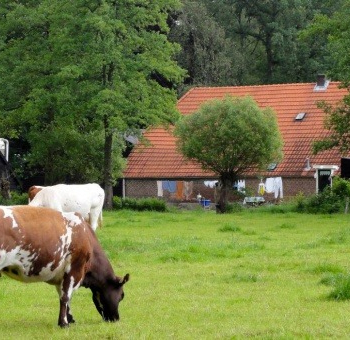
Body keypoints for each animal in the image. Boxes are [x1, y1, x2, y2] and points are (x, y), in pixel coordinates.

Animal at [0, 205, 129, 326]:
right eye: (122, 295)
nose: (116, 318)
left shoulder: (62, 276)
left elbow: (65, 296)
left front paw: (70, 319)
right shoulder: (75, 269)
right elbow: (65, 297)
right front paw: (64, 323)